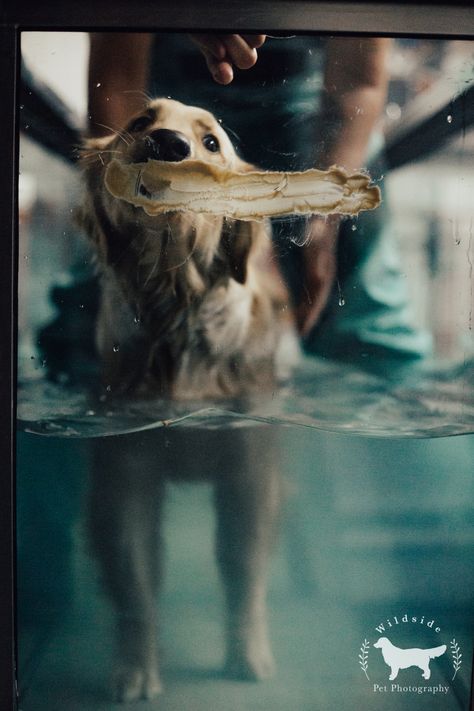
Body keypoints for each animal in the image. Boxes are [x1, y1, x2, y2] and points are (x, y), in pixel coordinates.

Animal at [79, 100, 298, 708]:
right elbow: (135, 577)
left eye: (211, 142)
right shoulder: (125, 469)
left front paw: (248, 652)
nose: (168, 144)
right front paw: (136, 665)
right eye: (139, 122)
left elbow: (243, 566)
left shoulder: (251, 470)